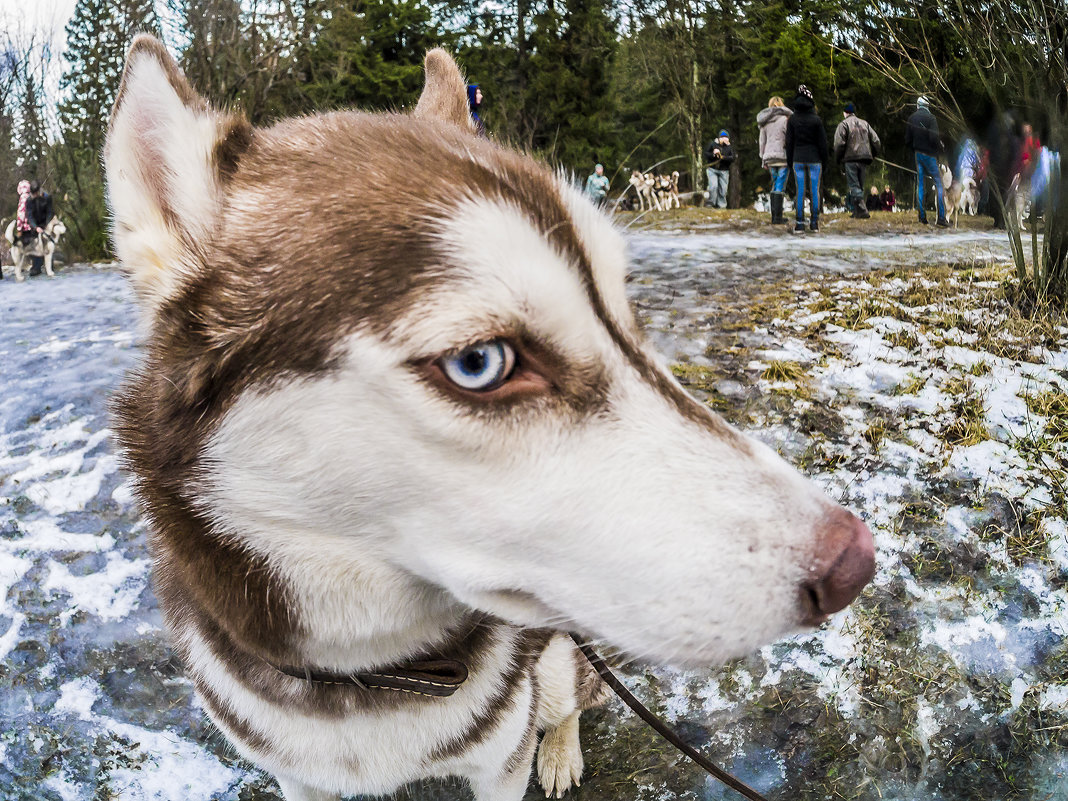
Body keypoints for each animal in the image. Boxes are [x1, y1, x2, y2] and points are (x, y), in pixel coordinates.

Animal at [104, 34, 871, 801]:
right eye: (480, 361)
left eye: (622, 317)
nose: (855, 564)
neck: (377, 677)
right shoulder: (297, 776)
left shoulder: (500, 761)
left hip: (554, 667)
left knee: (568, 702)